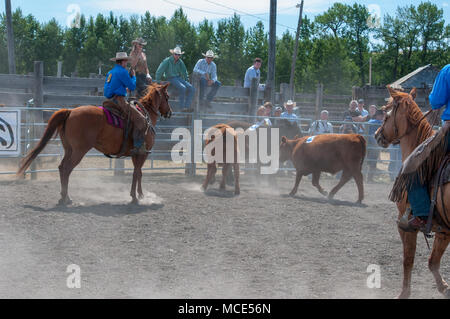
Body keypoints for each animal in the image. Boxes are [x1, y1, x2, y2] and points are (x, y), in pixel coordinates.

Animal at [17, 83, 172, 205]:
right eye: (167, 96)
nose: (169, 113)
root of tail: (70, 111)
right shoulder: (143, 153)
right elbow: (137, 173)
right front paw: (135, 197)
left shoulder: (136, 154)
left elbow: (138, 173)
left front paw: (139, 195)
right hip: (79, 151)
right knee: (67, 169)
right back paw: (66, 198)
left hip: (69, 149)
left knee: (62, 167)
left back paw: (63, 197)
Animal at [372, 86, 450, 298]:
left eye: (386, 112)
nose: (377, 134)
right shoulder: (443, 230)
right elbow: (433, 262)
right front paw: (444, 287)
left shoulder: (405, 224)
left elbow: (408, 260)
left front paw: (403, 293)